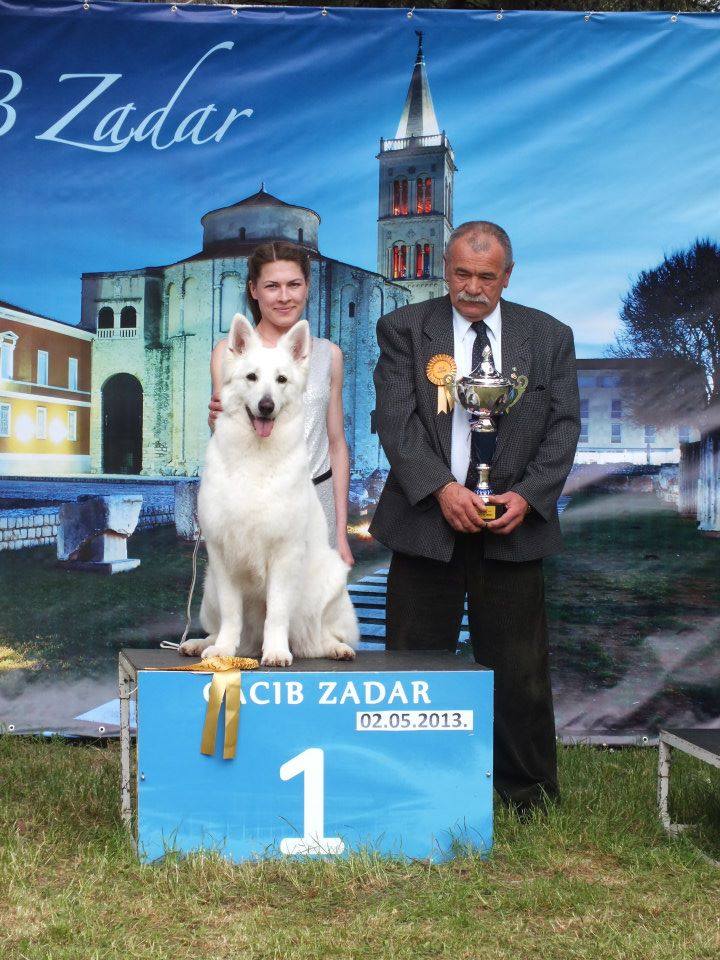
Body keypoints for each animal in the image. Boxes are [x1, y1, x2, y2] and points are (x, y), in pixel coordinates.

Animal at [179, 314, 358, 667]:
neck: (256, 458)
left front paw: (275, 651)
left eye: (281, 380)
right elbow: (232, 616)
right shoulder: (223, 555)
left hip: (331, 583)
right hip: (209, 588)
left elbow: (276, 612)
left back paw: (335, 648)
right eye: (251, 377)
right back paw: (202, 644)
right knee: (223, 629)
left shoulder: (284, 555)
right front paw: (222, 651)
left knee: (319, 636)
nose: (266, 405)